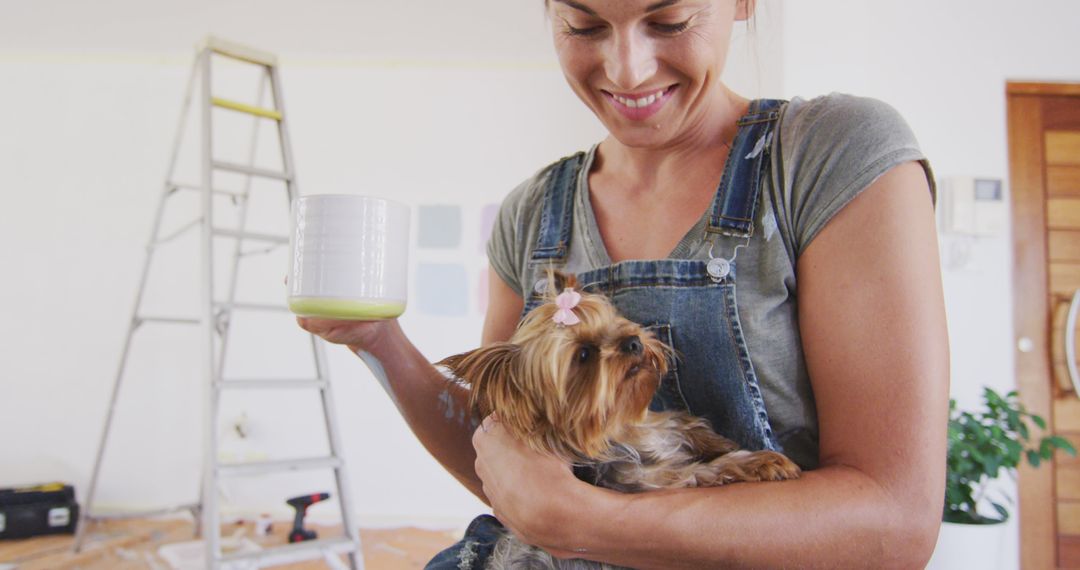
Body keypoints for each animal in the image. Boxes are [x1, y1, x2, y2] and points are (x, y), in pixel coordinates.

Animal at [438, 274, 803, 565]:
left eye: (614, 322)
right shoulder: (646, 481)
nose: (634, 341)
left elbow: (682, 423)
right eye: (583, 354)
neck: (619, 428)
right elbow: (702, 470)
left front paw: (716, 440)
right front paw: (762, 462)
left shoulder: (655, 425)